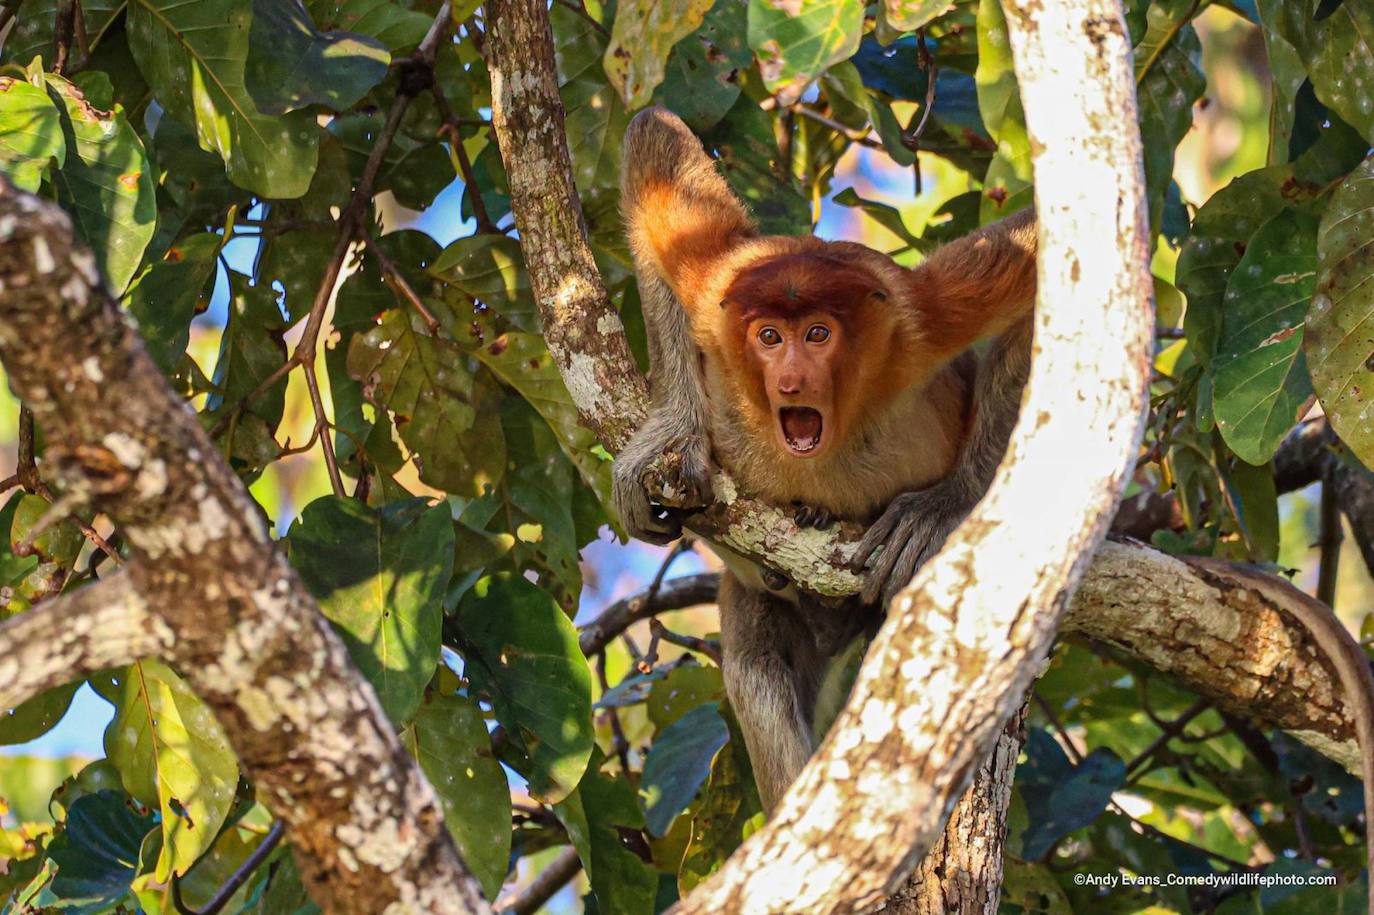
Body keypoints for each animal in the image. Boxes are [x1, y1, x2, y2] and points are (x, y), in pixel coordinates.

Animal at [613, 107, 1037, 811]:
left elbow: (1040, 260)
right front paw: (676, 432)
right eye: (768, 337)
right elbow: (655, 144)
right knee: (757, 669)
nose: (789, 382)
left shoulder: (921, 322)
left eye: (818, 334)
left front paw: (941, 507)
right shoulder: (714, 291)